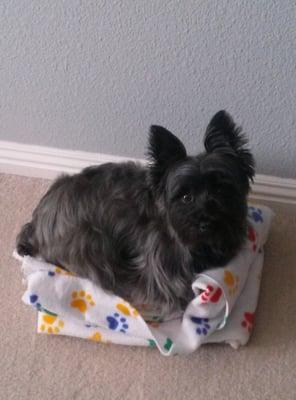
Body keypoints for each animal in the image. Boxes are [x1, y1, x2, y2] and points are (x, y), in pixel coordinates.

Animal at [16, 111, 254, 318]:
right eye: (186, 197)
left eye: (221, 189)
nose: (207, 223)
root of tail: (35, 223)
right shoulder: (162, 271)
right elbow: (177, 295)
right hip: (92, 242)